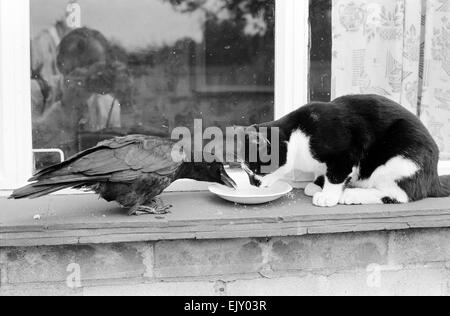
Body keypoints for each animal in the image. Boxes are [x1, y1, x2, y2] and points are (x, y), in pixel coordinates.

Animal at [250, 94, 450, 207]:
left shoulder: (345, 153)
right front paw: (317, 185)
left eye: (254, 169)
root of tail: (434, 177)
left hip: (401, 161)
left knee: (401, 195)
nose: (253, 185)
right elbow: (323, 173)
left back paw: (350, 195)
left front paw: (328, 196)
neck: (298, 137)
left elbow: (336, 175)